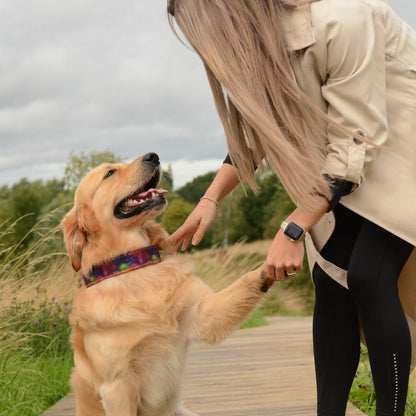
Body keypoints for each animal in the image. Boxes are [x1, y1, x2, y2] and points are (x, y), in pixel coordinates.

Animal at [61, 153, 270, 416]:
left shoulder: (202, 312)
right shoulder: (116, 386)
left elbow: (244, 283)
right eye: (110, 173)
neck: (134, 265)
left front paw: (275, 260)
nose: (154, 156)